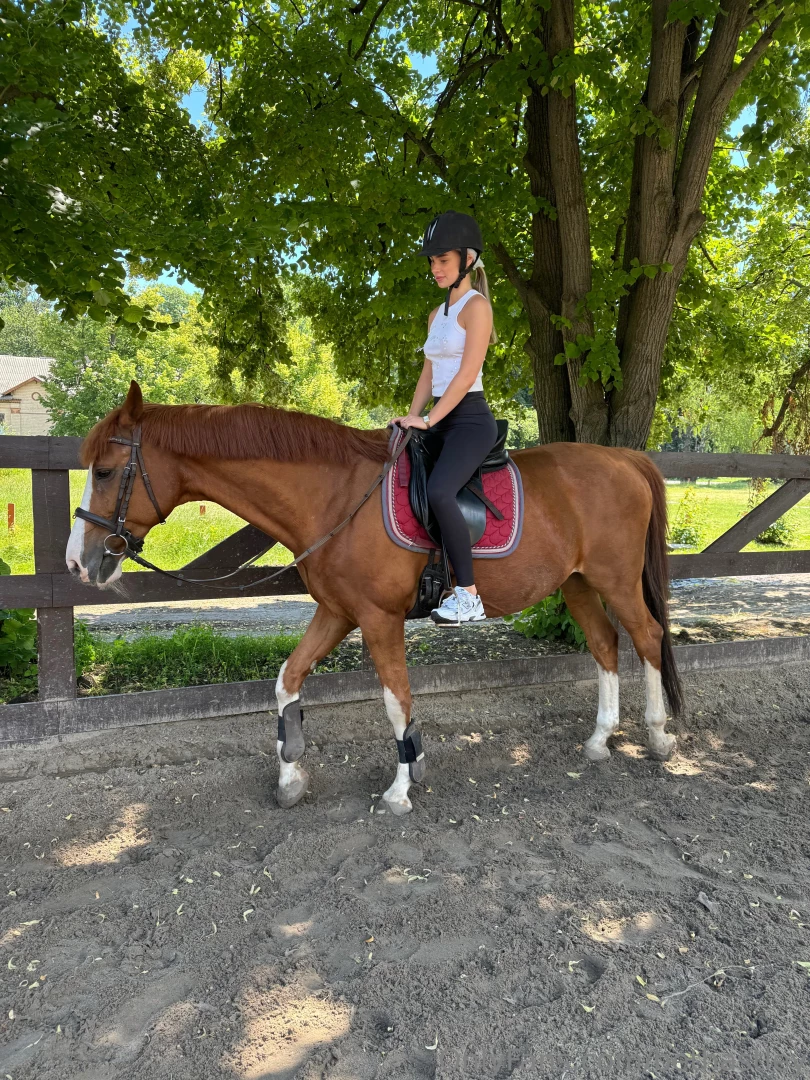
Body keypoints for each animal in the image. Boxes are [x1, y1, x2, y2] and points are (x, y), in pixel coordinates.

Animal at [66, 381, 683, 815]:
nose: (77, 561)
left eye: (107, 471)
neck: (336, 496)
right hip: (577, 583)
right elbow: (287, 681)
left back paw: (657, 736)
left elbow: (396, 702)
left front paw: (401, 788)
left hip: (615, 579)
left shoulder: (379, 619)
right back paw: (599, 739)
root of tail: (624, 459)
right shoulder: (338, 613)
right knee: (605, 644)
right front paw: (291, 774)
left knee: (648, 637)